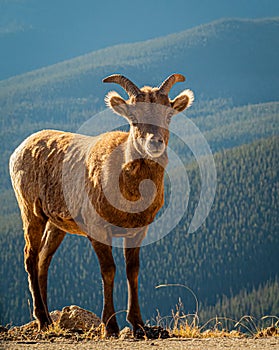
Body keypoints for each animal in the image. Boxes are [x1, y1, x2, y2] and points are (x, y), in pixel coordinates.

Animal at [10, 73, 195, 336]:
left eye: (168, 115)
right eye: (133, 118)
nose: (155, 143)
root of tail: (17, 151)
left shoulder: (138, 231)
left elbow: (132, 270)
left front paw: (139, 325)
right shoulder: (97, 229)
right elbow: (109, 270)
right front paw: (110, 326)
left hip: (57, 225)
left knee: (44, 260)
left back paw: (47, 317)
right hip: (31, 212)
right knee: (30, 256)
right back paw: (43, 320)